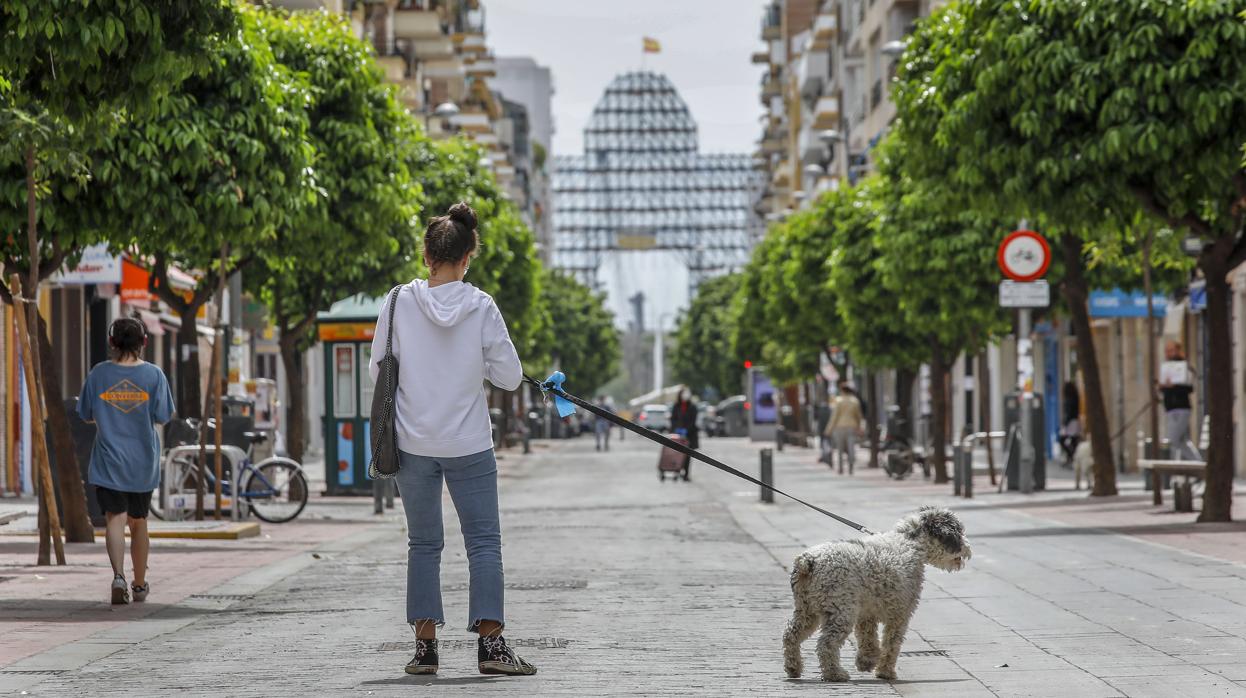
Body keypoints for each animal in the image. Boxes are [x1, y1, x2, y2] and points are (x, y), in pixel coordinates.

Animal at [777, 506, 971, 683]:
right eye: (957, 532)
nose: (968, 548)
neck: (910, 543)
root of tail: (808, 560)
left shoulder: (867, 612)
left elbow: (867, 637)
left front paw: (867, 661)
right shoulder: (899, 614)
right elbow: (892, 644)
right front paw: (885, 672)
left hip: (807, 609)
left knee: (790, 635)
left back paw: (793, 668)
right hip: (840, 610)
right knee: (826, 643)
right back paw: (835, 674)